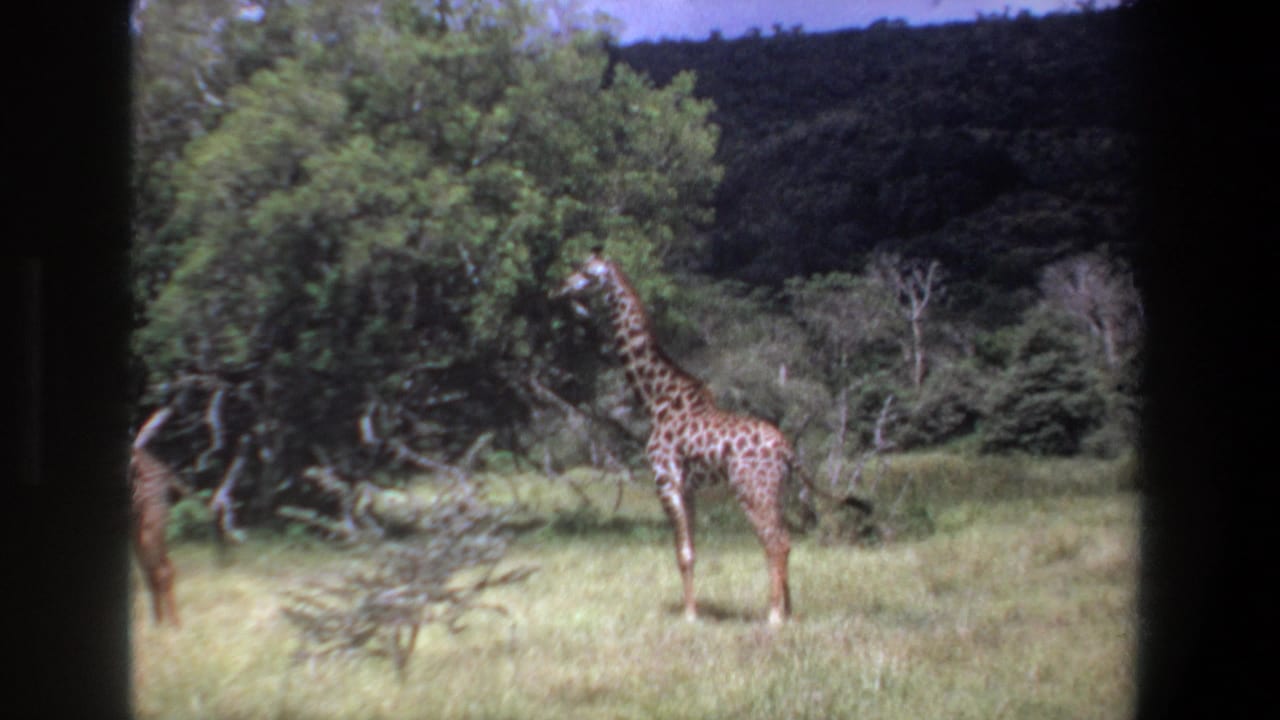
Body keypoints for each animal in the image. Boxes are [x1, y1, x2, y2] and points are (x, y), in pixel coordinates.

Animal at [557, 250, 798, 624]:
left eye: (585, 270)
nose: (562, 286)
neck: (657, 399)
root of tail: (787, 451)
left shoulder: (665, 479)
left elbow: (682, 553)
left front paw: (690, 616)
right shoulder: (688, 488)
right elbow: (691, 550)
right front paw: (692, 610)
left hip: (750, 489)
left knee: (775, 541)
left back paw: (773, 617)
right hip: (776, 491)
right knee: (784, 538)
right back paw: (787, 611)